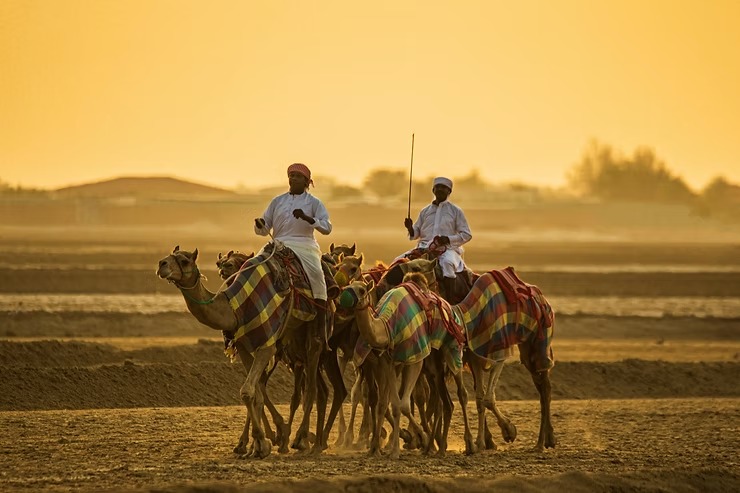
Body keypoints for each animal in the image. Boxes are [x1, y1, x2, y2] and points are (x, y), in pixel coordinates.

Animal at [157, 245, 334, 458]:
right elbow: (255, 393)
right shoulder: (243, 346)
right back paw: (310, 441)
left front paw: (262, 442)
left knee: (312, 388)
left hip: (314, 334)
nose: (161, 264)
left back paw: (302, 440)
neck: (236, 308)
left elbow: (248, 391)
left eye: (184, 260)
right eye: (169, 256)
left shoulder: (267, 344)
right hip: (295, 339)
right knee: (316, 389)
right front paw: (254, 444)